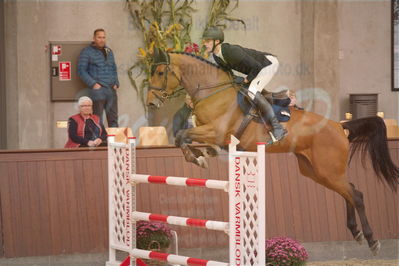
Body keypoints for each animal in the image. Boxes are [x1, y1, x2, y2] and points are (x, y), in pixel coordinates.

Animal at [148, 50, 399, 256]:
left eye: (160, 72)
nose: (151, 102)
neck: (212, 92)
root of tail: (339, 126)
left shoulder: (215, 131)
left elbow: (182, 135)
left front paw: (197, 158)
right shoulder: (206, 131)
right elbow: (182, 136)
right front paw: (202, 155)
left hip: (328, 170)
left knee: (356, 195)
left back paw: (371, 240)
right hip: (316, 172)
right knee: (348, 192)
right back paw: (356, 232)